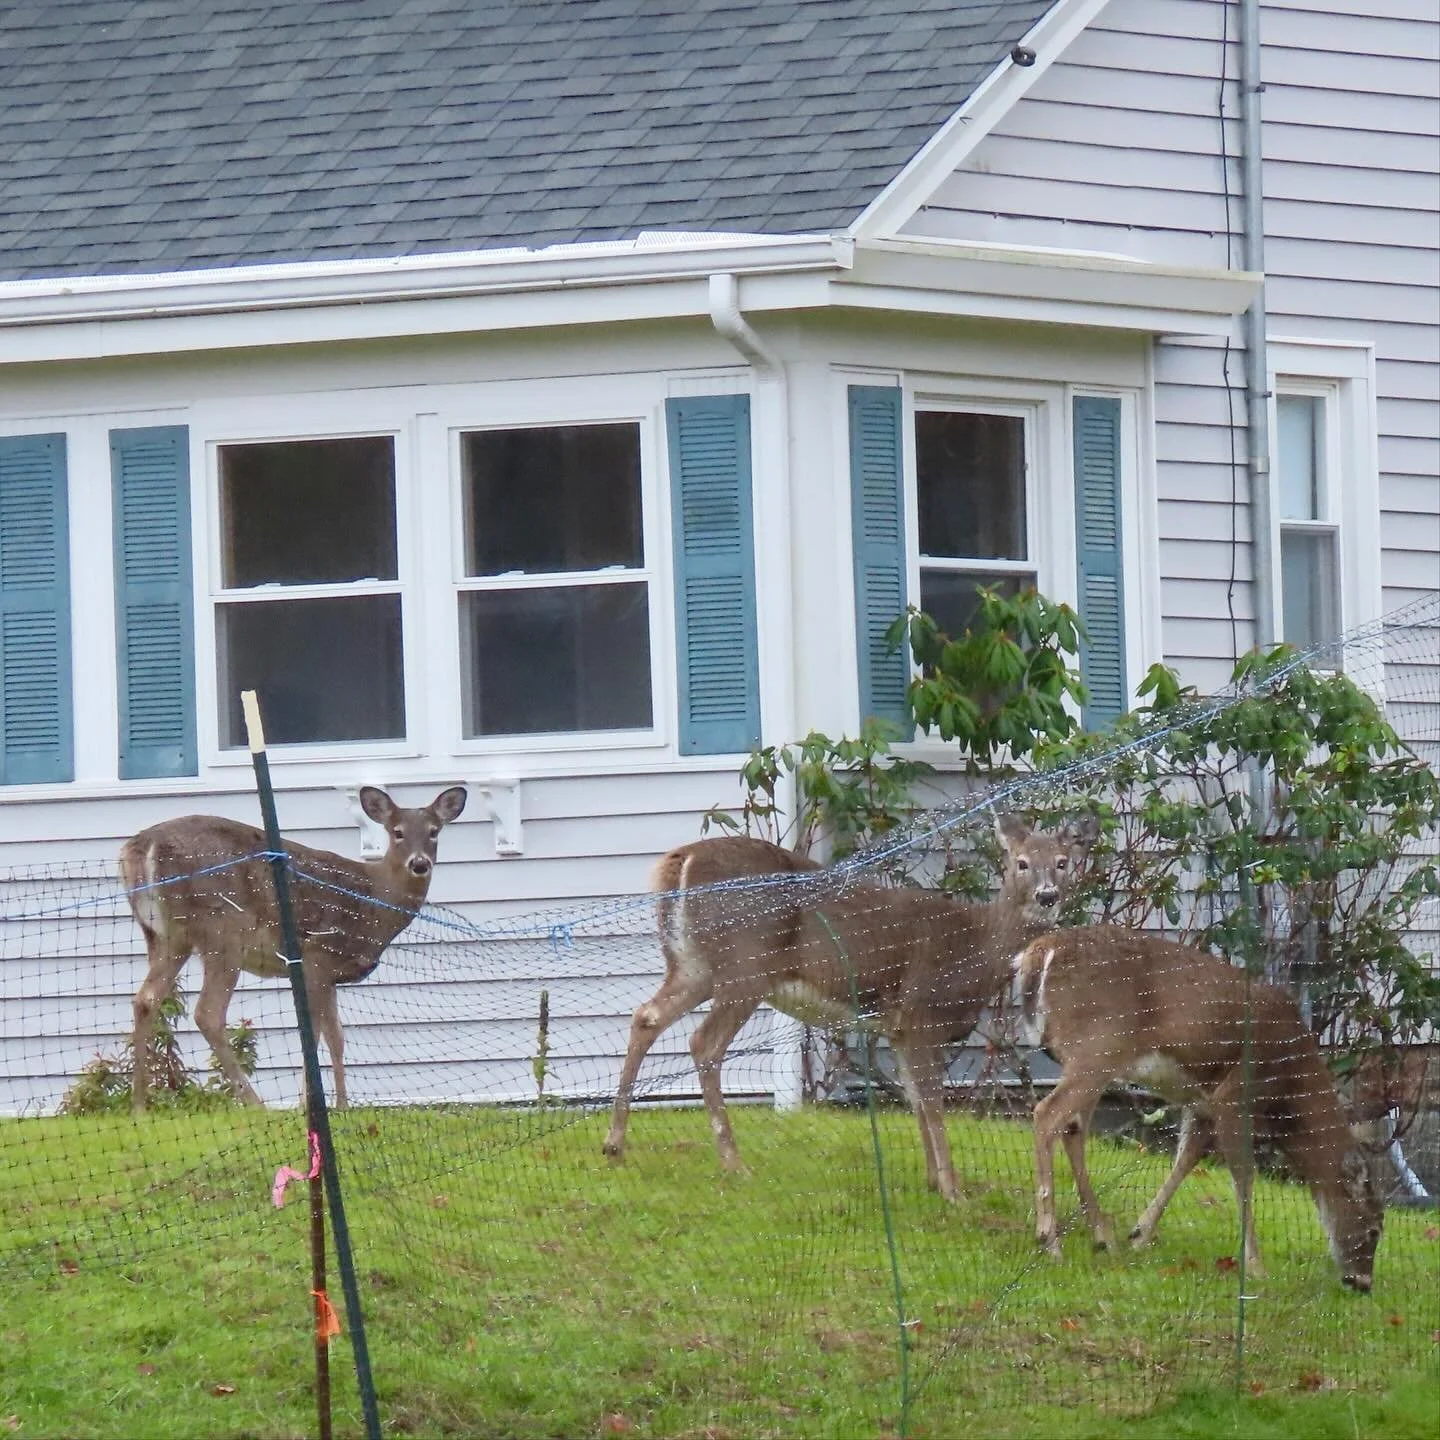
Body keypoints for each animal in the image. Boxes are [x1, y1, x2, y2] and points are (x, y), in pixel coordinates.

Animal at [120, 784, 467, 1113]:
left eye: (434, 831)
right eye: (397, 832)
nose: (419, 864)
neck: (372, 902)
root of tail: (141, 847)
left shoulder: (328, 973)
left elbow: (336, 1036)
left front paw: (341, 1105)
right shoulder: (316, 953)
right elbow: (315, 1035)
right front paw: (311, 1105)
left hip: (165, 937)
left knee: (145, 999)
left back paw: (139, 1105)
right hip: (224, 929)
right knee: (208, 1012)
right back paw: (255, 1104)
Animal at [602, 814, 1098, 1201]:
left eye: (1062, 862)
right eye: (1021, 863)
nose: (1048, 896)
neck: (976, 946)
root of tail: (681, 860)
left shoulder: (899, 1028)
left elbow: (917, 1102)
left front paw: (932, 1182)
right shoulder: (921, 1012)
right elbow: (933, 1102)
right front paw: (953, 1190)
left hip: (695, 965)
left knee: (645, 1016)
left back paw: (614, 1144)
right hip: (747, 963)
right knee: (704, 1042)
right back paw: (733, 1162)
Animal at [1011, 926, 1384, 1290]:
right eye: (1374, 1229)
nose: (1362, 1283)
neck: (1290, 1089)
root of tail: (1040, 951)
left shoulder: (1202, 1104)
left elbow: (1186, 1159)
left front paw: (1140, 1234)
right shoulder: (1235, 1096)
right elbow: (1244, 1178)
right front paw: (1256, 1267)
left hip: (1094, 1058)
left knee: (1073, 1127)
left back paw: (1102, 1237)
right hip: (1099, 1046)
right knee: (1047, 1114)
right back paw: (1050, 1240)